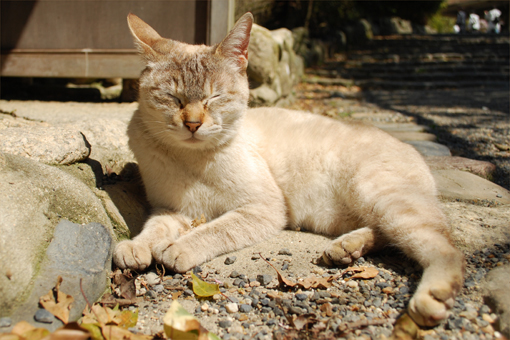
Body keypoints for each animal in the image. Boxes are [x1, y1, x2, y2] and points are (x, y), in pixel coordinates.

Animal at [115, 12, 466, 326]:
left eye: (214, 98)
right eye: (172, 98)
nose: (192, 124)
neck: (191, 159)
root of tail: (412, 149)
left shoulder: (262, 208)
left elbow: (214, 230)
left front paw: (177, 249)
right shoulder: (172, 210)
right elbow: (153, 229)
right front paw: (135, 248)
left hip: (381, 198)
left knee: (445, 247)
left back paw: (431, 298)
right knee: (386, 234)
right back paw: (346, 249)